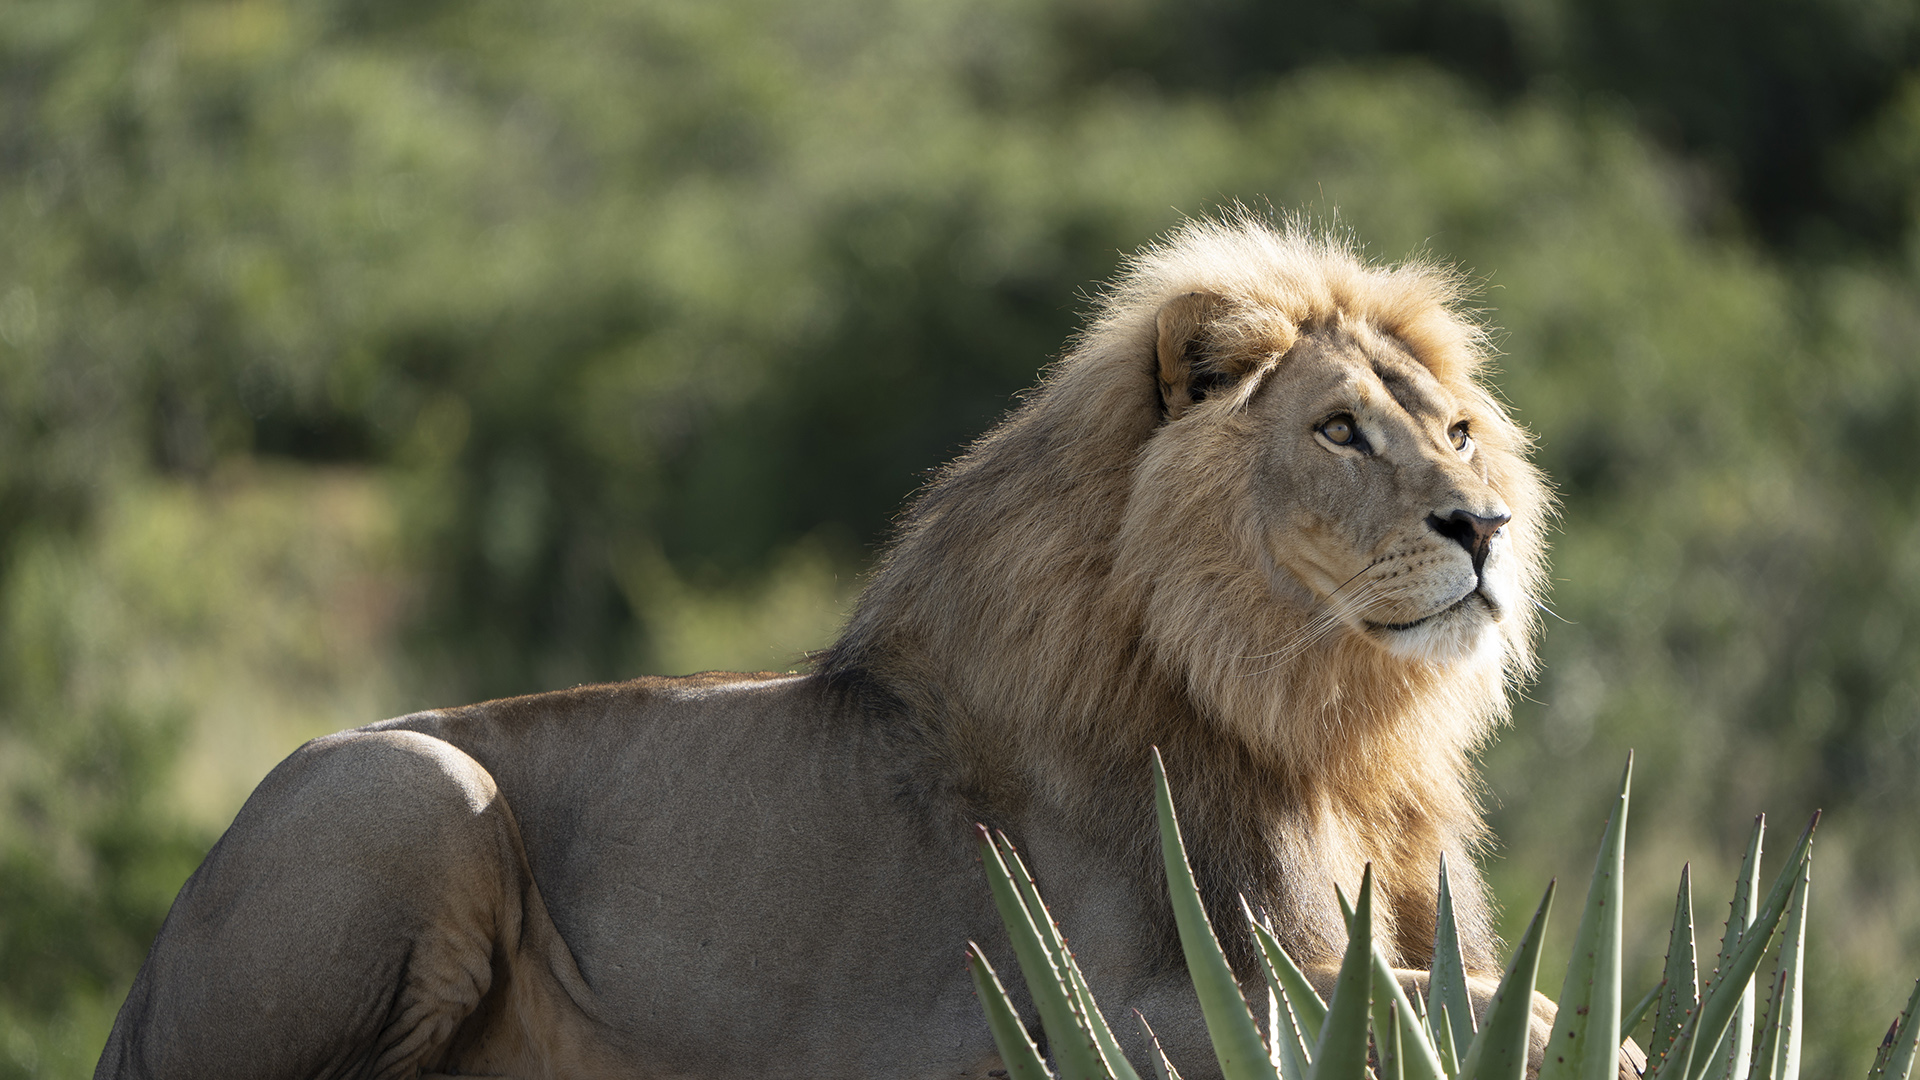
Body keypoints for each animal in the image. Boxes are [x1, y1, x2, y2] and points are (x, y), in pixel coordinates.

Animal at [97, 214, 1551, 1076]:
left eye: (1459, 431)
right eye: (1340, 430)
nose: (1482, 525)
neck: (1329, 727)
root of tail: (138, 996)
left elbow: (1468, 982)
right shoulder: (1108, 1002)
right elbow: (1451, 1001)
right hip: (412, 785)